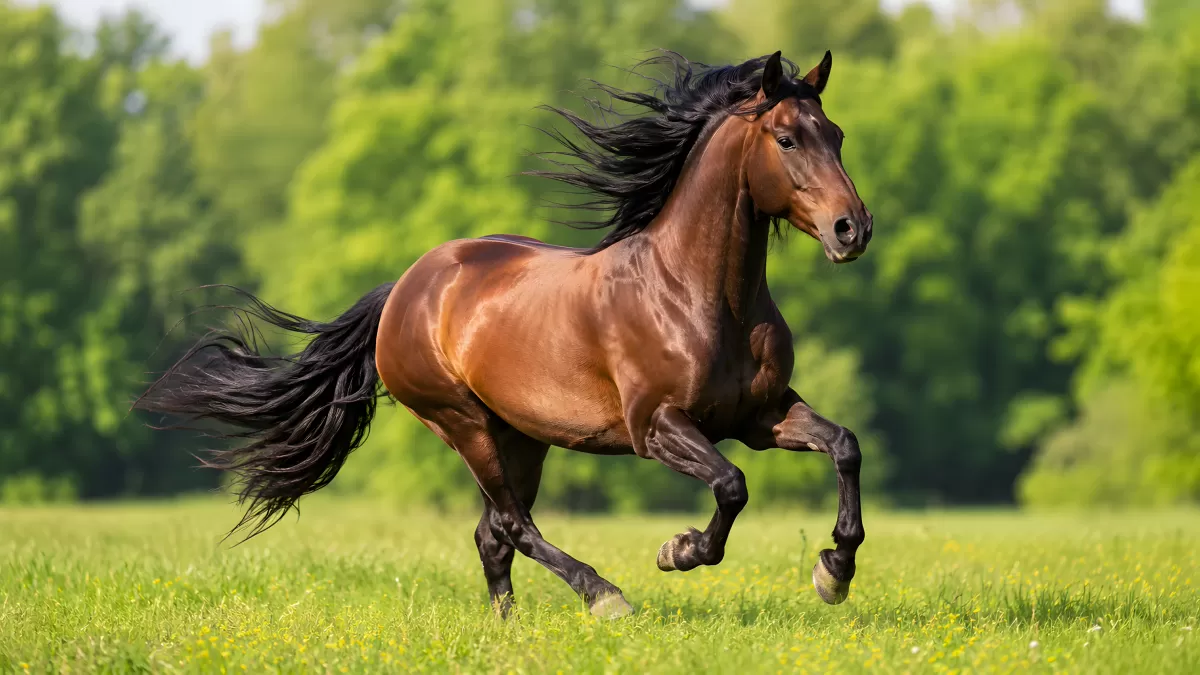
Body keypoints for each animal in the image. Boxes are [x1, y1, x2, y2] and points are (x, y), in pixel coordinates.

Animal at [139, 50, 873, 619]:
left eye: (837, 134)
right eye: (786, 139)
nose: (853, 229)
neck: (695, 294)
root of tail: (406, 288)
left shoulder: (760, 415)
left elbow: (844, 445)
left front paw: (833, 571)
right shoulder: (658, 425)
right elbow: (732, 485)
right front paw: (679, 550)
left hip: (522, 435)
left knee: (492, 534)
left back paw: (509, 627)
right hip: (463, 424)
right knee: (514, 525)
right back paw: (604, 595)